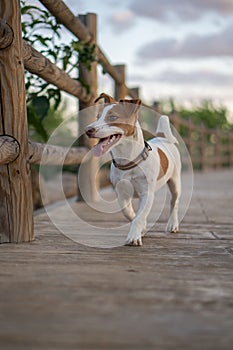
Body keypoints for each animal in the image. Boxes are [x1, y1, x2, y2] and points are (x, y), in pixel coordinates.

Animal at [84, 93, 181, 246]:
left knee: (174, 203)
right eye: (97, 117)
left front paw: (134, 236)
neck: (128, 161)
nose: (88, 130)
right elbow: (130, 213)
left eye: (113, 117)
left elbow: (139, 216)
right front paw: (142, 228)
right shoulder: (121, 193)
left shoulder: (147, 194)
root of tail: (162, 138)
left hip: (175, 182)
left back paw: (173, 224)